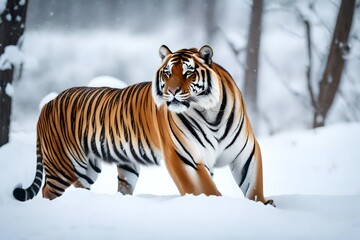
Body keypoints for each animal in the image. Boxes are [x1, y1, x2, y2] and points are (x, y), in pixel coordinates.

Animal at [13, 44, 272, 204]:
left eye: (188, 73)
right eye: (167, 73)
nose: (171, 92)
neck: (209, 113)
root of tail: (49, 102)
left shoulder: (246, 151)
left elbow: (254, 185)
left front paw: (262, 205)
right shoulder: (183, 158)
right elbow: (206, 190)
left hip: (92, 169)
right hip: (63, 165)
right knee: (47, 191)